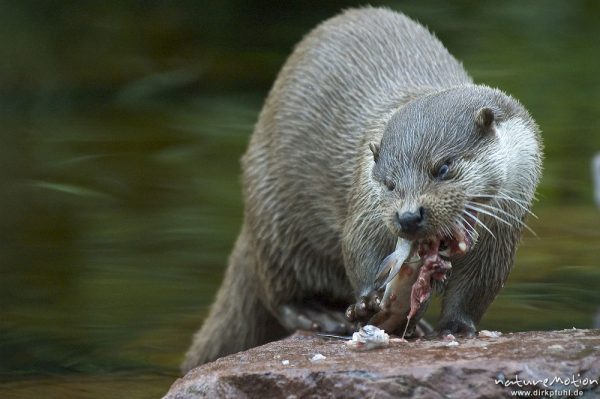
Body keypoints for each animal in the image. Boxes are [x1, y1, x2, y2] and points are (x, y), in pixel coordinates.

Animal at [180, 6, 540, 372]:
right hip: (275, 218)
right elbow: (357, 244)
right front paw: (368, 302)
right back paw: (318, 314)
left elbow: (478, 286)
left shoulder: (505, 226)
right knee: (278, 293)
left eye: (443, 167)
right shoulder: (366, 198)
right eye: (389, 183)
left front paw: (456, 327)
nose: (409, 216)